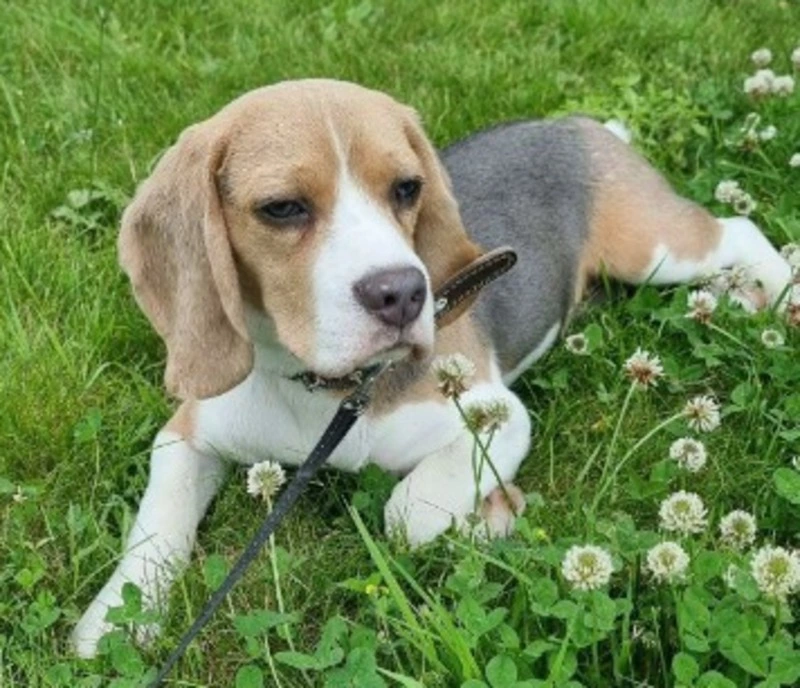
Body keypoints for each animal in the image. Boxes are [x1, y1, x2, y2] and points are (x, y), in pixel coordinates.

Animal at [72, 79, 793, 657]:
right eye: (281, 208)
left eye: (407, 188)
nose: (403, 293)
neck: (324, 393)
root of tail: (574, 124)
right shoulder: (187, 435)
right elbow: (156, 526)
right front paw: (113, 621)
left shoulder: (496, 415)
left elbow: (406, 513)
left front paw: (487, 514)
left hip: (652, 248)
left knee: (737, 233)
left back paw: (780, 295)